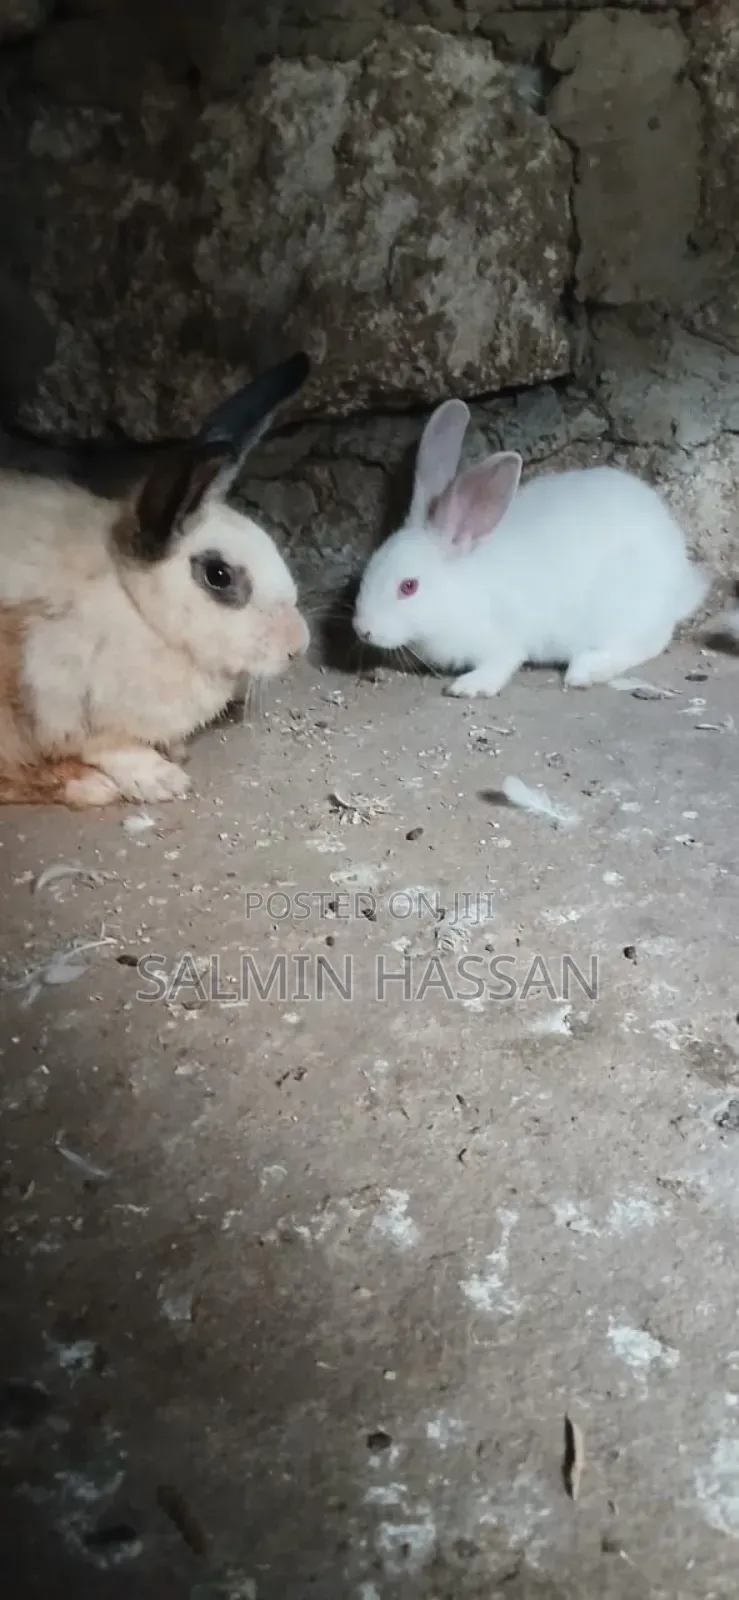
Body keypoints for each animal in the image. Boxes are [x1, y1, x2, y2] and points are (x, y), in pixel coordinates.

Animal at [0, 352, 311, 807]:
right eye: (218, 575)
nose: (298, 647)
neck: (139, 613)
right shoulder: (57, 695)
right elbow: (108, 746)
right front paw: (161, 778)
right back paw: (91, 786)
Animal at [353, 399, 711, 698]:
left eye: (408, 586)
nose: (362, 630)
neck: (458, 592)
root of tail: (680, 579)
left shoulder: (500, 642)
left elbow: (502, 662)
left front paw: (468, 687)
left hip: (622, 611)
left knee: (646, 642)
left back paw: (583, 671)